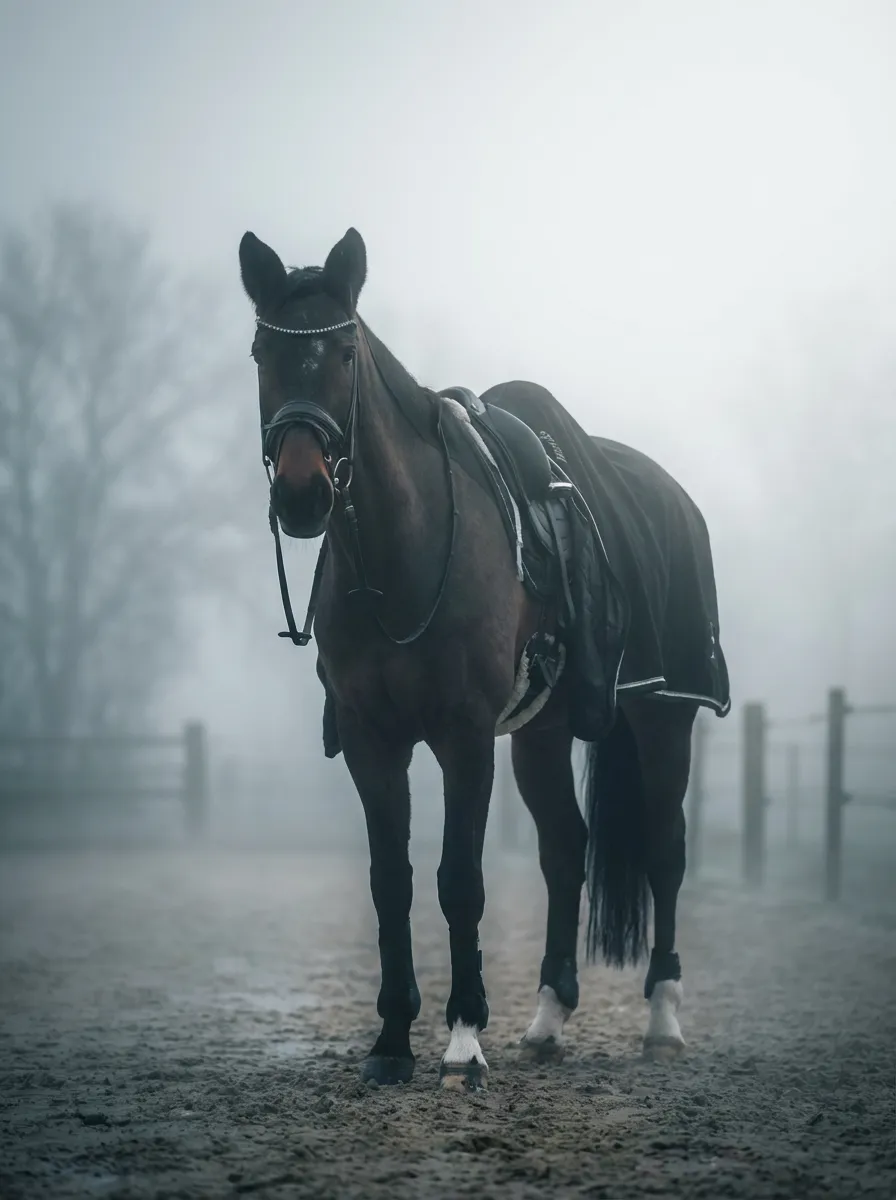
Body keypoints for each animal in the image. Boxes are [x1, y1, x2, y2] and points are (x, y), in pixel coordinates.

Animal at [238, 227, 730, 1091]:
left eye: (344, 354)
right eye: (265, 350)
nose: (302, 493)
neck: (401, 556)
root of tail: (669, 493)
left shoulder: (463, 736)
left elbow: (458, 882)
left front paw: (464, 1038)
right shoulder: (371, 741)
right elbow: (391, 883)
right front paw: (391, 1040)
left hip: (664, 718)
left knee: (665, 853)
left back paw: (662, 1019)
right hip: (542, 733)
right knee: (565, 849)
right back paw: (548, 1017)